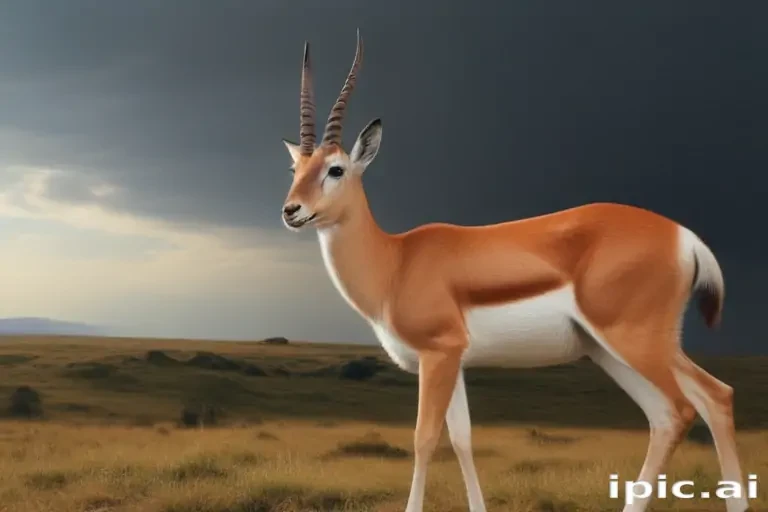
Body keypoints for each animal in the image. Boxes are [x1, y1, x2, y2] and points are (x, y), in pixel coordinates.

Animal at [279, 31, 750, 512]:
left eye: (336, 169)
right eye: (296, 168)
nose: (291, 211)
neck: (396, 262)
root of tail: (684, 236)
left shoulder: (438, 355)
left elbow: (424, 438)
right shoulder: (455, 362)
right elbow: (463, 439)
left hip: (636, 341)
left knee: (694, 403)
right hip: (611, 351)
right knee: (691, 406)